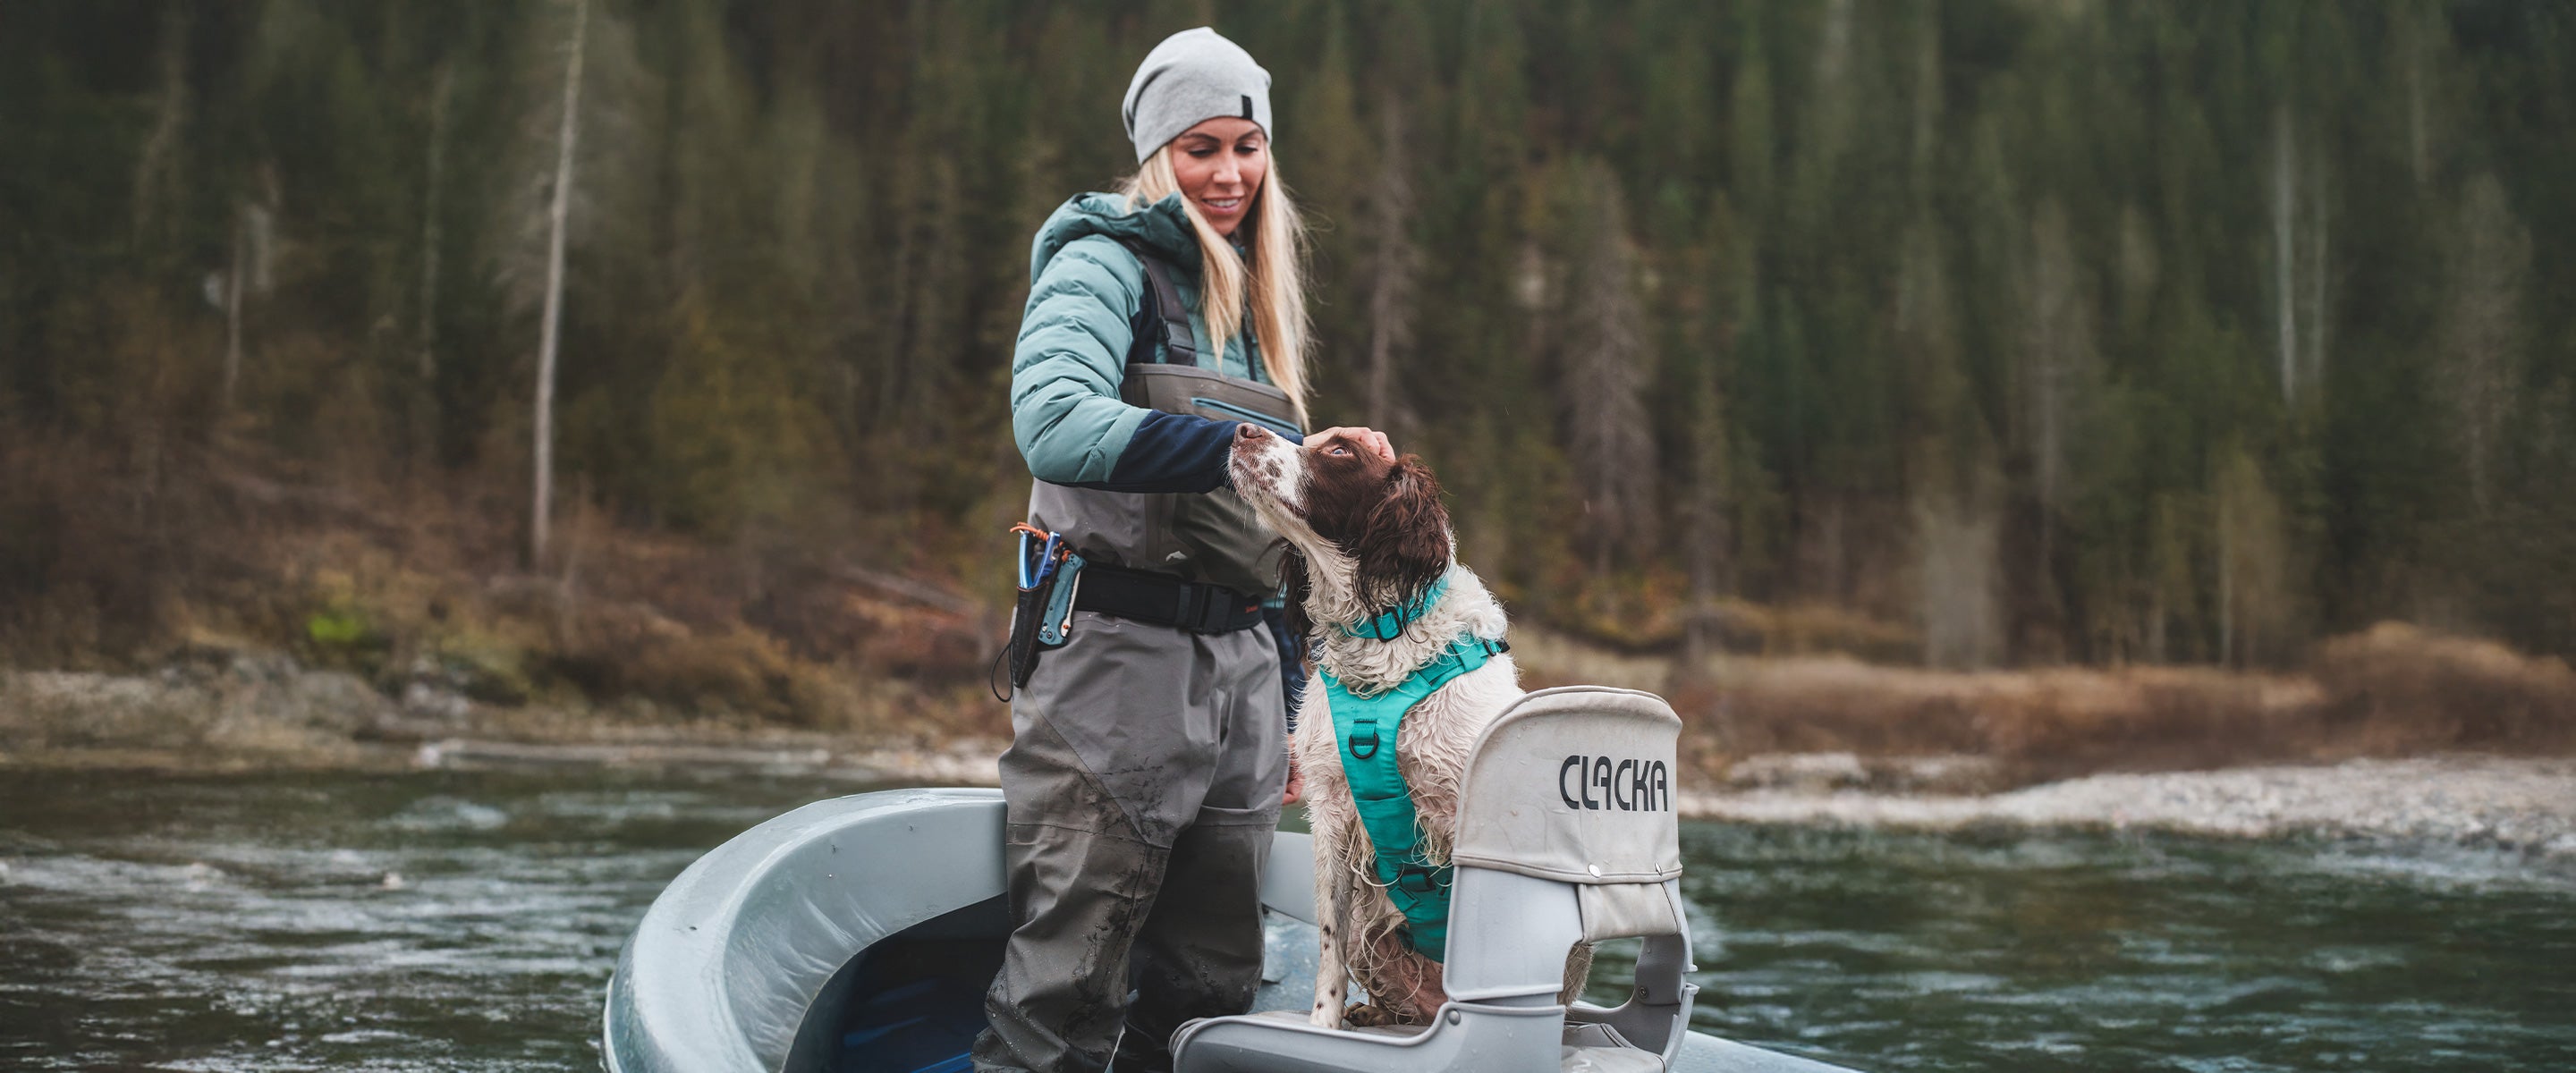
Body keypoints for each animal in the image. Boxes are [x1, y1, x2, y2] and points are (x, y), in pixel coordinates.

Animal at [1216, 421, 1576, 1024]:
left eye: (1340, 450)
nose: (1243, 430)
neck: (1382, 638)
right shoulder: (1332, 814)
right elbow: (1328, 950)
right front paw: (1325, 1024)